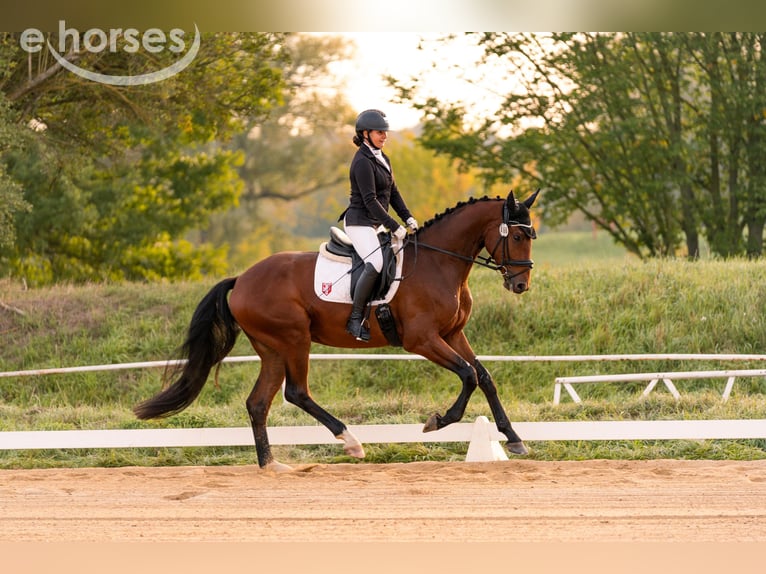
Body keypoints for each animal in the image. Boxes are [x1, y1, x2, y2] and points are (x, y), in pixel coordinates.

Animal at [134, 189, 540, 471]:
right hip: (294, 339)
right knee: (296, 392)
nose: (521, 285)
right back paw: (351, 442)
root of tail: (242, 278)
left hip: (272, 348)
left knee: (258, 402)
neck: (438, 263)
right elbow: (468, 374)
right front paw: (437, 421)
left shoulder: (453, 335)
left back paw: (272, 465)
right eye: (518, 237)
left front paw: (514, 439)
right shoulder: (422, 340)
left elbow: (484, 377)